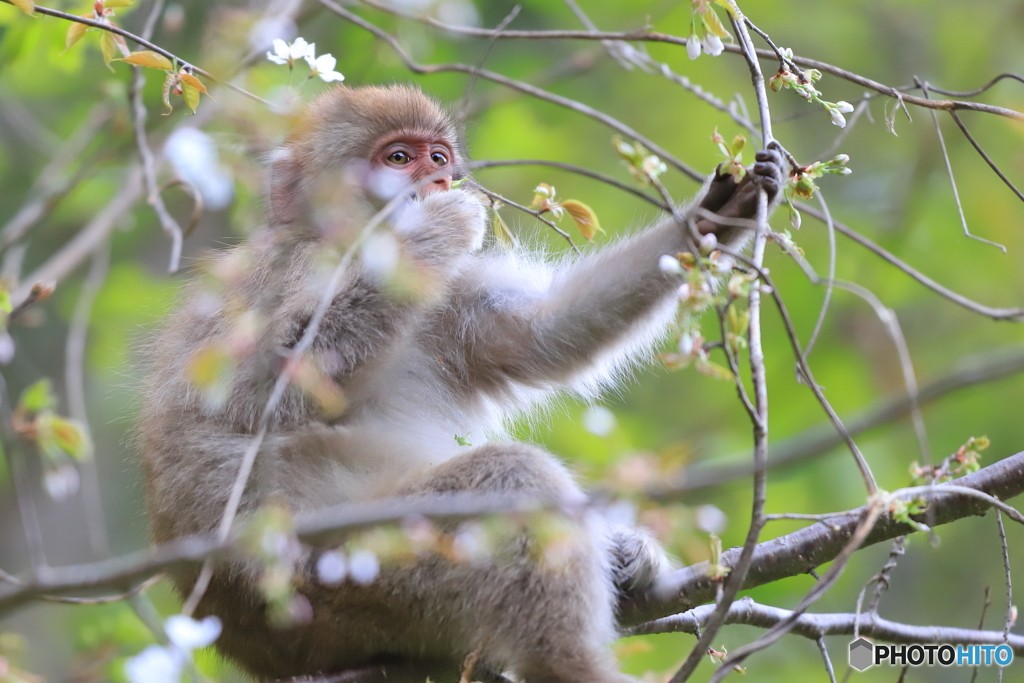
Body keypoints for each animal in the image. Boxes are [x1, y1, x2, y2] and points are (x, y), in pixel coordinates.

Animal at [138, 82, 782, 679]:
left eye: (440, 157)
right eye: (400, 158)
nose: (439, 183)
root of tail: (260, 648)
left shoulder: (450, 299)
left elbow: (541, 335)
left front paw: (716, 215)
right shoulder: (284, 271)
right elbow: (264, 397)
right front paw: (436, 228)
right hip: (350, 576)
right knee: (509, 480)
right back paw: (569, 662)